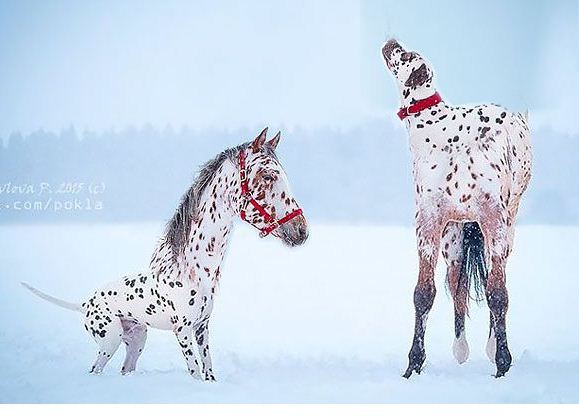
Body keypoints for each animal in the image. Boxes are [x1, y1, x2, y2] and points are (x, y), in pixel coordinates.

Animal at [23, 129, 310, 380]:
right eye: (268, 176)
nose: (301, 230)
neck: (194, 270)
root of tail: (84, 303)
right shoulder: (182, 331)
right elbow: (195, 373)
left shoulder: (202, 328)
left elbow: (208, 370)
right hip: (109, 341)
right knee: (95, 369)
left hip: (136, 340)